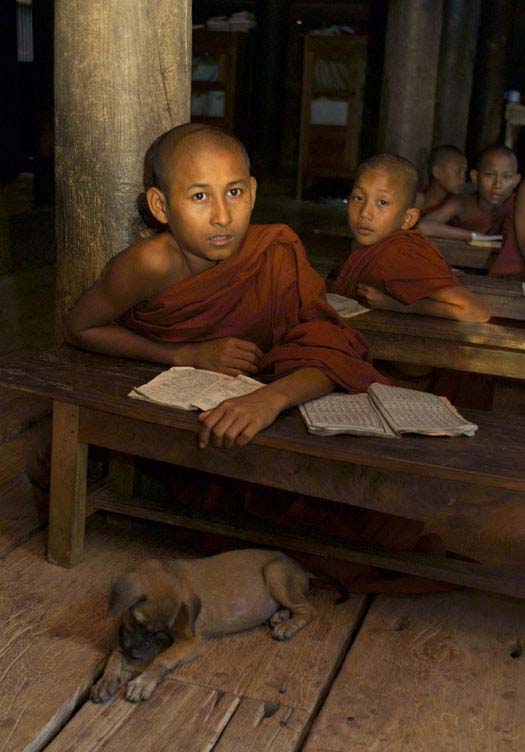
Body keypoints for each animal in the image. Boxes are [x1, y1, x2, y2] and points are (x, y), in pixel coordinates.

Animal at [91, 548, 316, 704]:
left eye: (160, 631)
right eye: (136, 621)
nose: (137, 655)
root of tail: (300, 567)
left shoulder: (190, 643)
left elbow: (161, 659)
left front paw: (143, 682)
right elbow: (115, 654)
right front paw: (106, 680)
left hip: (274, 573)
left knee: (307, 610)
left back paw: (287, 627)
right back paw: (280, 616)